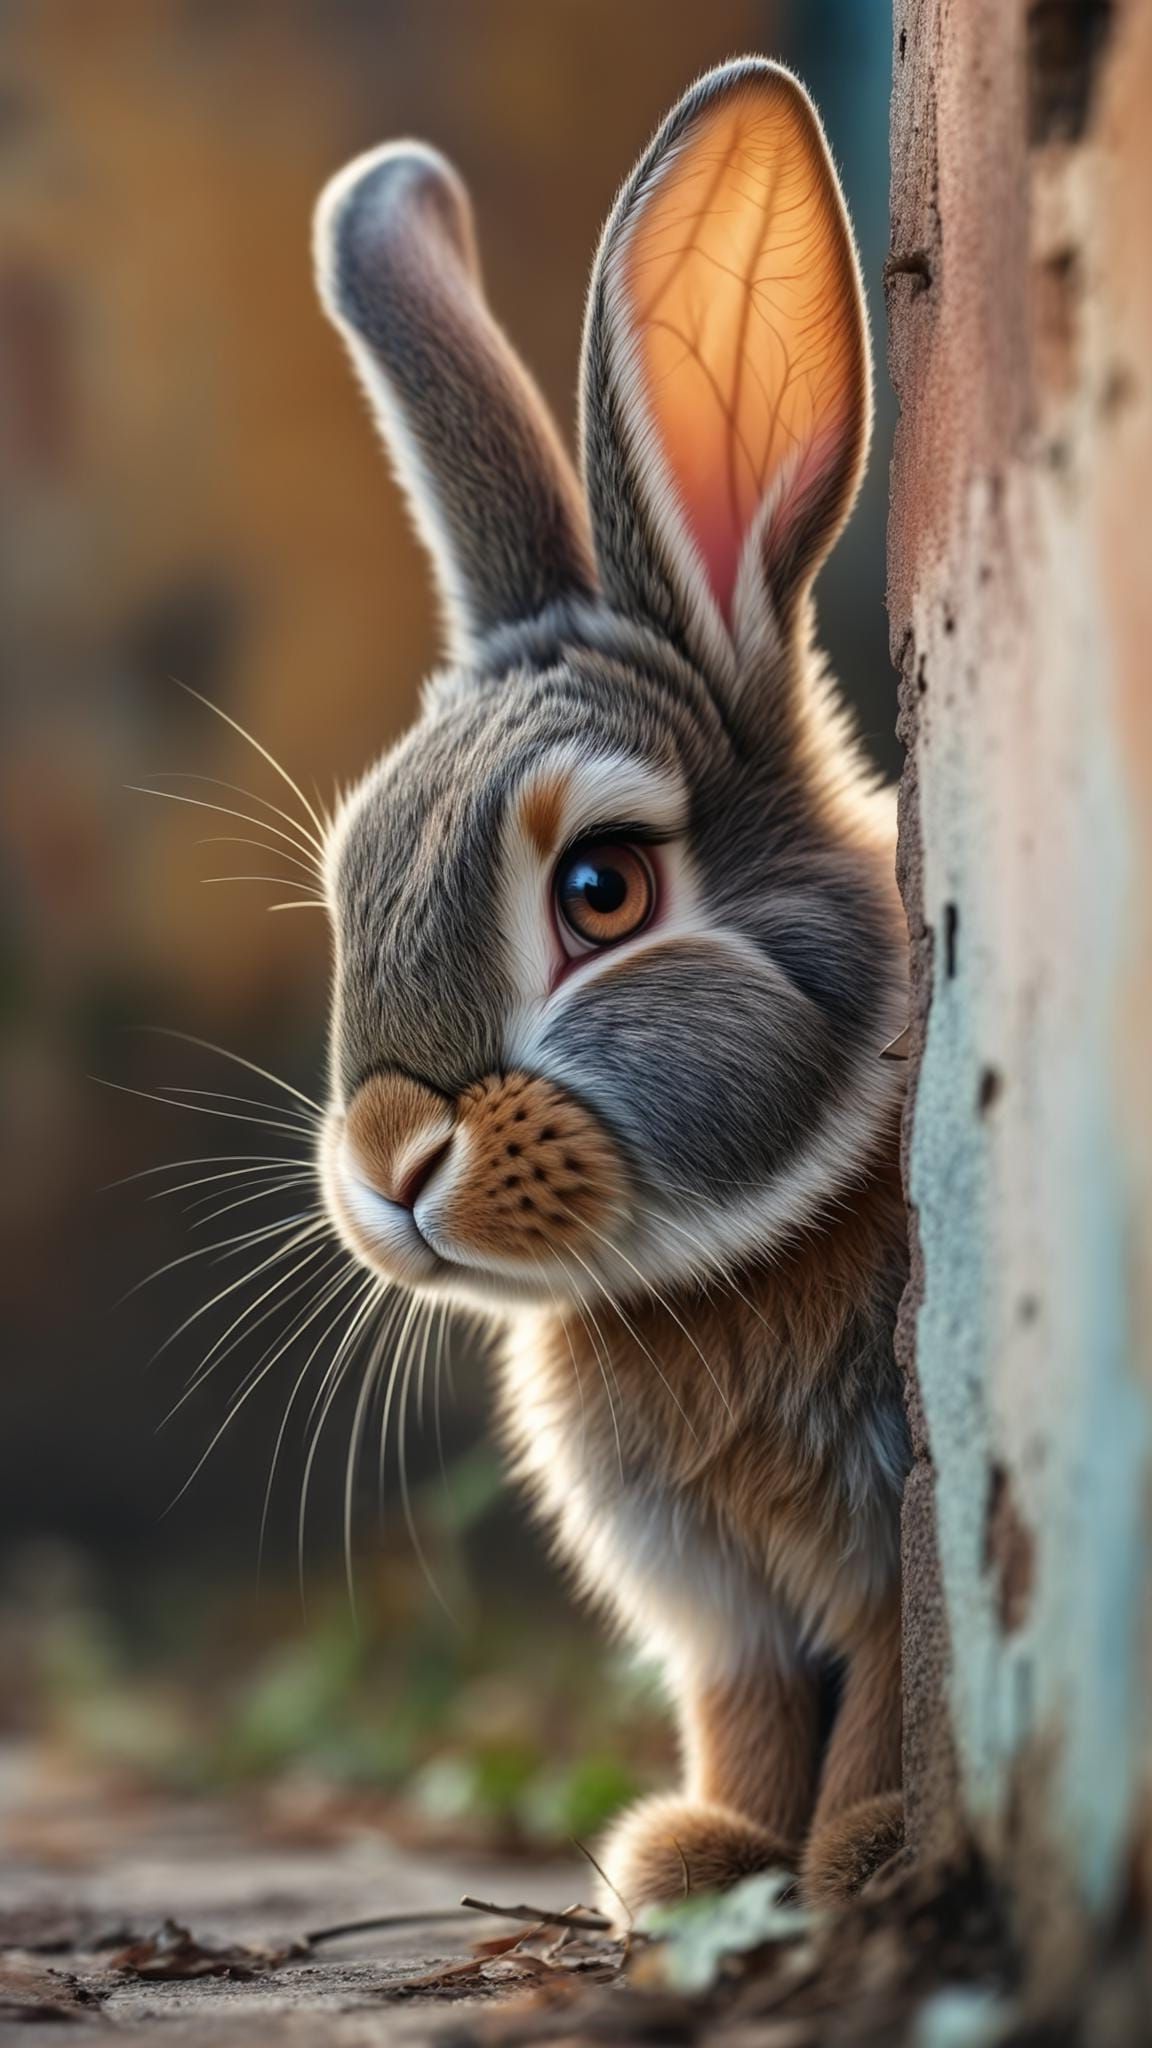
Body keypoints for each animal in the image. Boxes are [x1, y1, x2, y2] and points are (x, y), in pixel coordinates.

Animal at [311, 55, 910, 1915]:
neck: (707, 1270)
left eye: (602, 892)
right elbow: (749, 1716)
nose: (389, 1164)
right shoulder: (723, 1618)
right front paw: (698, 1855)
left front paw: (856, 1856)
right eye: (350, 880)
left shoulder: (885, 1547)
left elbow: (886, 1697)